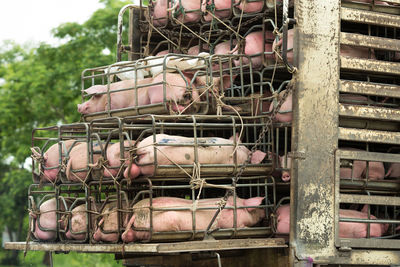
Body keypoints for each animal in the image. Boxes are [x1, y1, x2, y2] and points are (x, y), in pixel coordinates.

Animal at [121, 196, 266, 244]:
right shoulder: (230, 222)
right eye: (254, 209)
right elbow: (242, 226)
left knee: (126, 236)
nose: (264, 212)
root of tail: (137, 212)